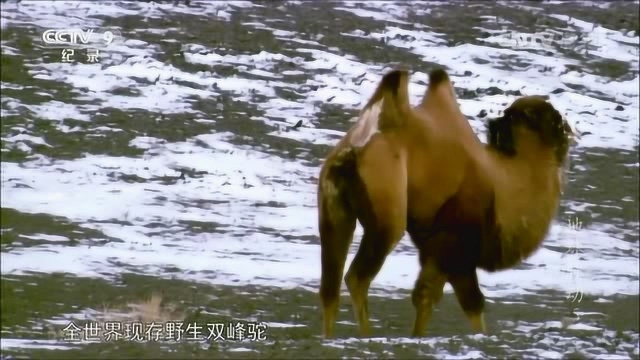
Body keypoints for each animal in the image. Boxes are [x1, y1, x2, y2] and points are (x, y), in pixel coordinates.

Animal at [318, 67, 576, 338]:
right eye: (534, 116)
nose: (568, 130)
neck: (506, 183)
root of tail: (360, 143)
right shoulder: (451, 242)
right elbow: (437, 297)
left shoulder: (443, 251)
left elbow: (465, 302)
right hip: (388, 215)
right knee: (357, 277)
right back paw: (367, 335)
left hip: (332, 209)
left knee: (329, 286)